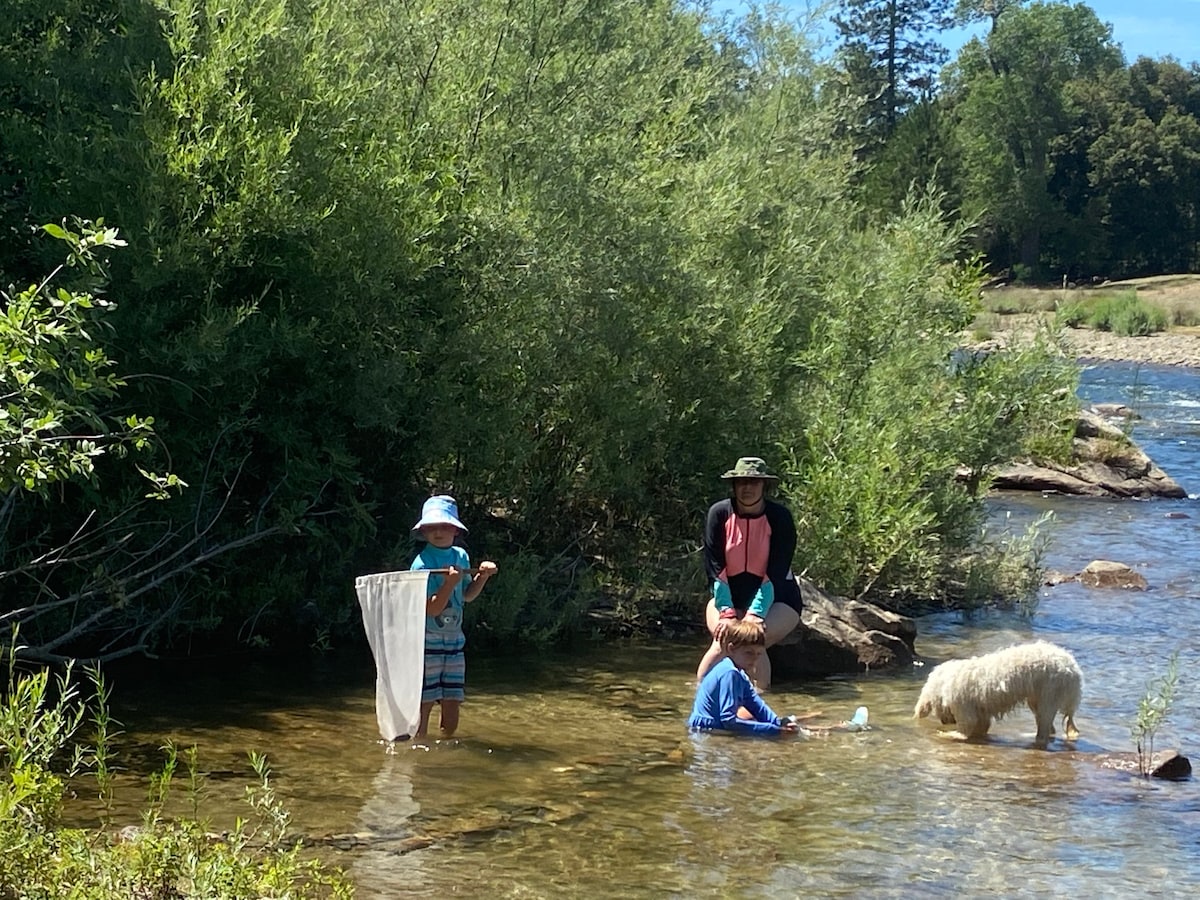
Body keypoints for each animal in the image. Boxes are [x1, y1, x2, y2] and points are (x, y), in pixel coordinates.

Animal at [912, 643, 1084, 744]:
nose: (945, 722)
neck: (944, 682)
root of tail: (1073, 667)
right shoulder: (980, 711)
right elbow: (981, 726)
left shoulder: (963, 705)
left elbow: (966, 727)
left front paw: (947, 734)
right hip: (1037, 697)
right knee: (1048, 725)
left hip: (1050, 691)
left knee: (1045, 723)